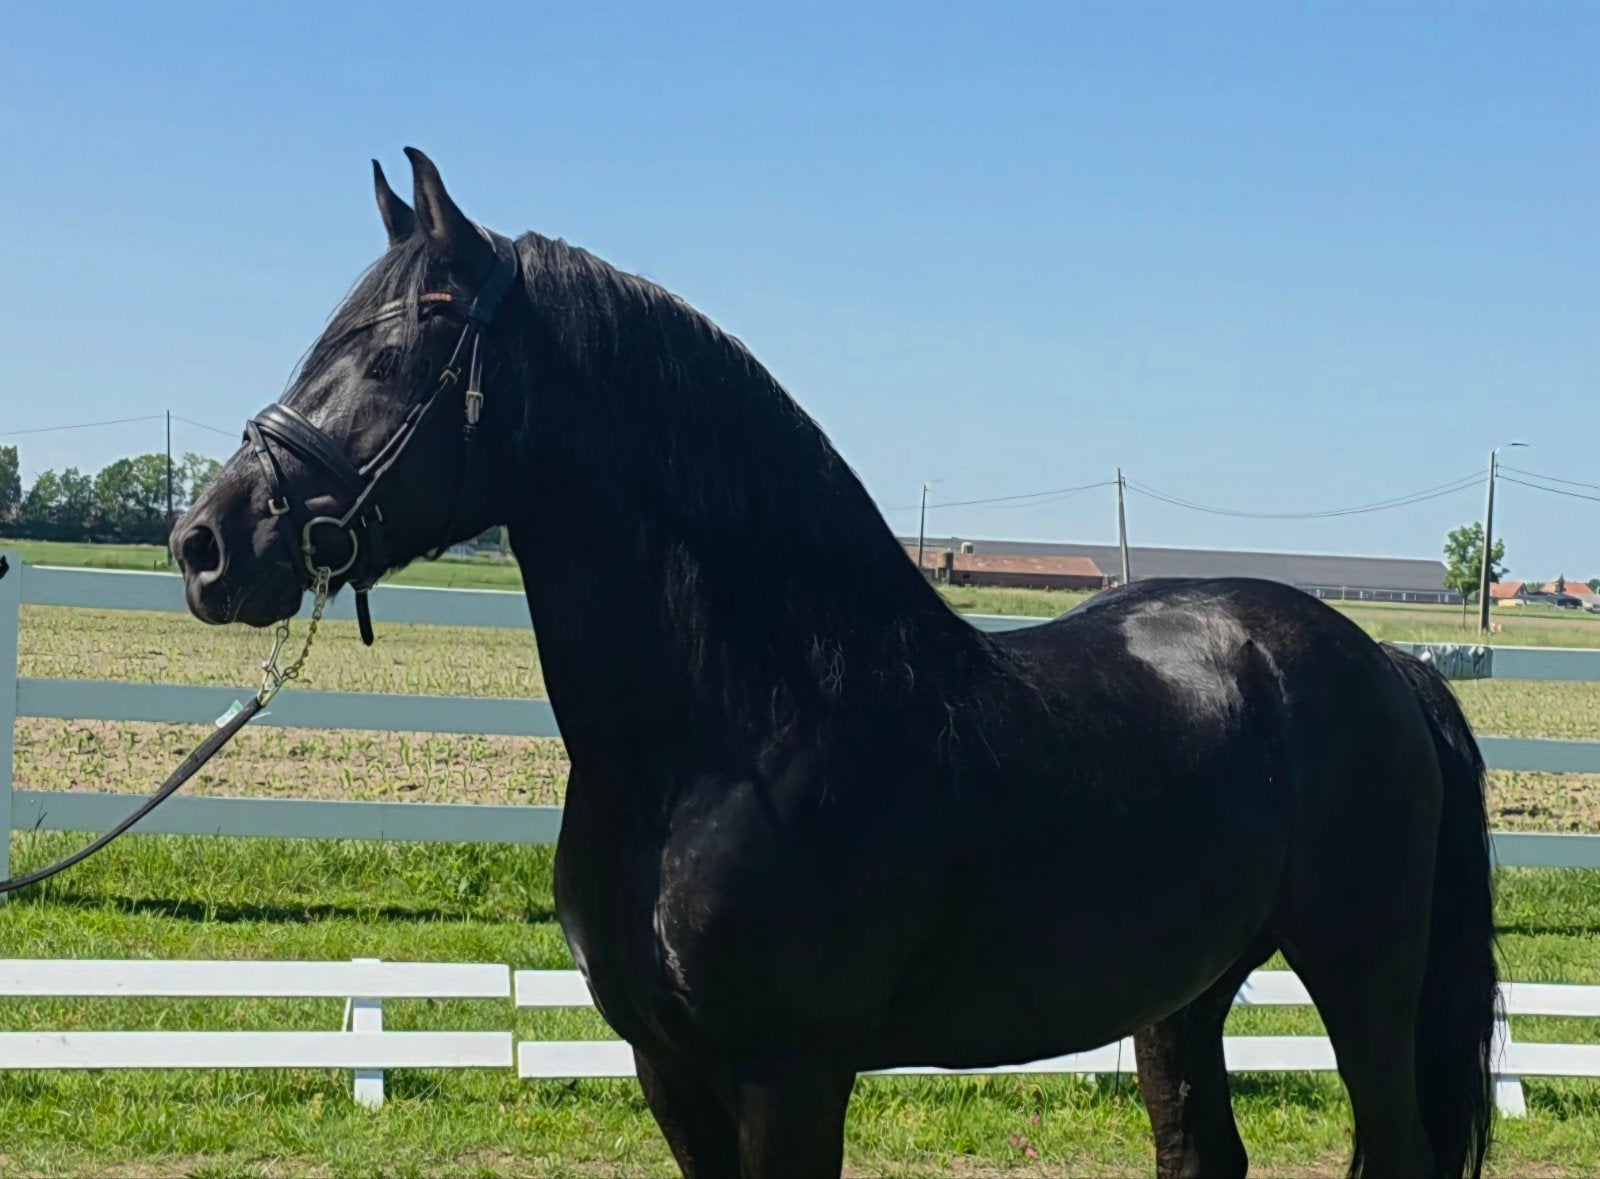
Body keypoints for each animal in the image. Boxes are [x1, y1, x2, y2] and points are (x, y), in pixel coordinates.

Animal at [173, 149, 1496, 1179]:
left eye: (407, 344)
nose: (208, 543)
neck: (739, 732)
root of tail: (1384, 664)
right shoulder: (669, 1069)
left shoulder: (788, 1075)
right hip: (1188, 993)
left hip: (1363, 976)